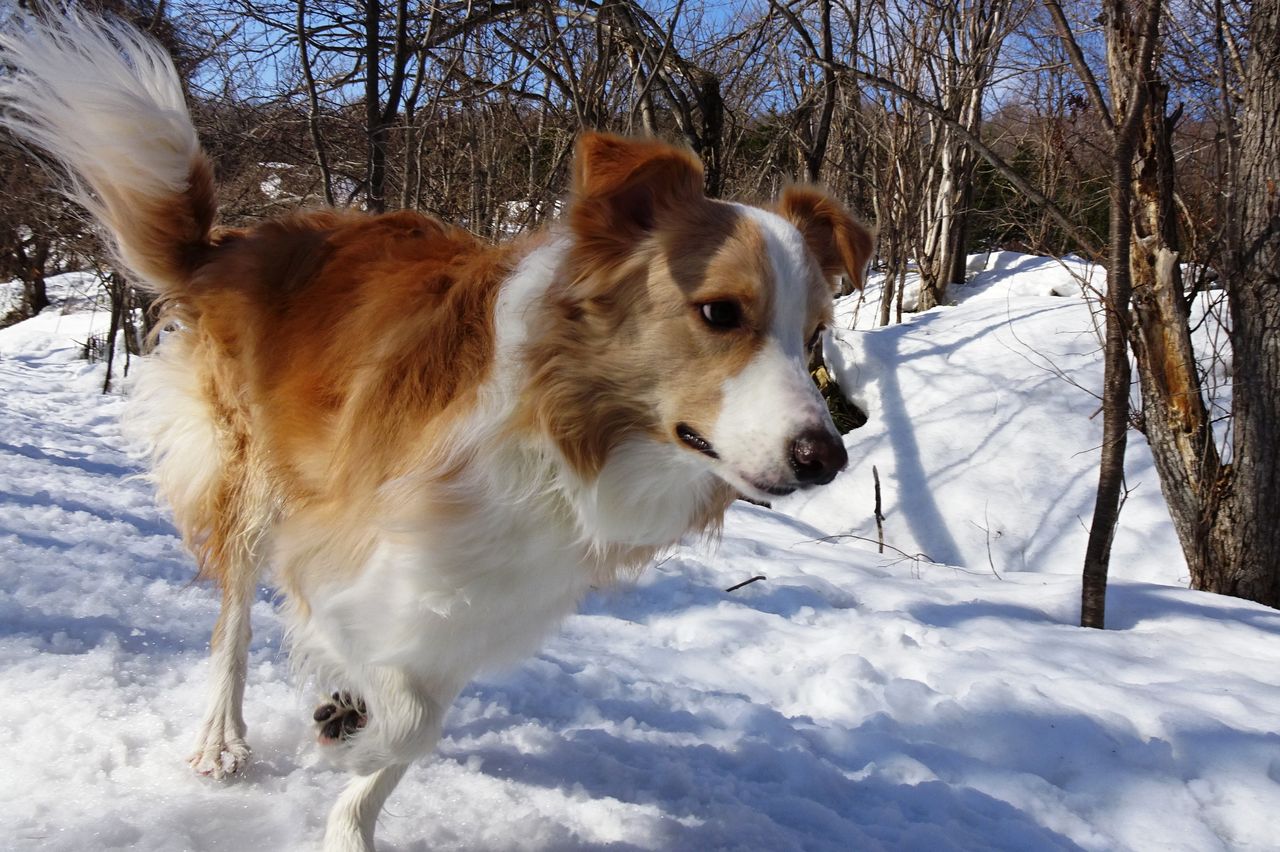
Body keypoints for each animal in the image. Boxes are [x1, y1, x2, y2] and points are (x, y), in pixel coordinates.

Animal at [0, 12, 871, 851]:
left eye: (814, 337)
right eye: (720, 312)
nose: (826, 457)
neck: (555, 437)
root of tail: (230, 246)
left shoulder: (470, 601)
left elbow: (417, 725)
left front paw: (349, 803)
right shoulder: (328, 550)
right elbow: (404, 713)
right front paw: (348, 738)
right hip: (248, 480)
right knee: (232, 623)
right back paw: (222, 737)